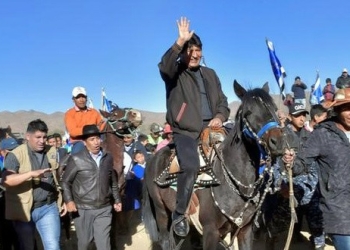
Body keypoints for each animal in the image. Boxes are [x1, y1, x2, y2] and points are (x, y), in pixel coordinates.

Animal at [142, 80, 292, 250]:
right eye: (248, 112)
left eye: (274, 109)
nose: (278, 142)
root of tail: (152, 159)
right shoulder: (210, 232)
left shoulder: (244, 230)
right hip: (161, 210)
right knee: (165, 240)